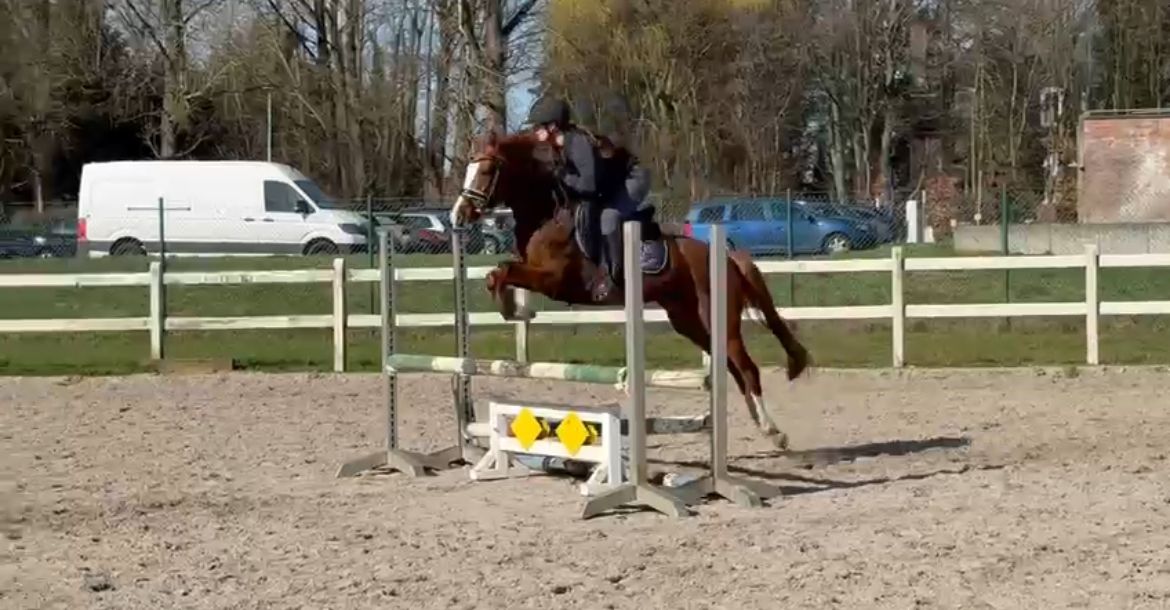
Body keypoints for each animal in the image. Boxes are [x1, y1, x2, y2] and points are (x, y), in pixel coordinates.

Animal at [449, 130, 810, 450]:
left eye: (485, 170)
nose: (458, 214)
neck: (547, 213)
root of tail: (725, 257)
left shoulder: (554, 279)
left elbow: (504, 272)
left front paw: (512, 309)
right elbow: (499, 272)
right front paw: (515, 310)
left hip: (721, 321)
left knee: (747, 368)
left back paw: (774, 431)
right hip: (689, 322)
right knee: (731, 368)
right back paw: (757, 426)